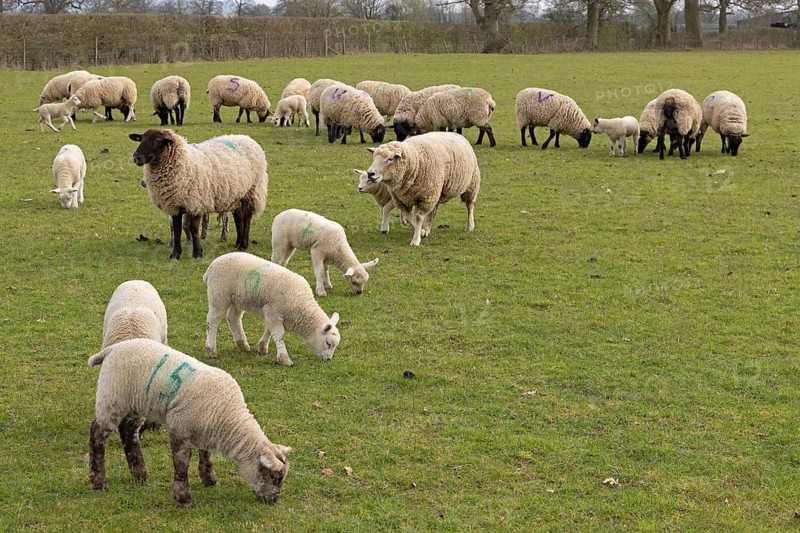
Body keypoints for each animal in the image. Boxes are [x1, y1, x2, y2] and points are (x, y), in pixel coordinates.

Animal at [87, 338, 291, 506]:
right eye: (273, 477)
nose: (274, 500)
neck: (228, 416)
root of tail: (111, 349)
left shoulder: (204, 429)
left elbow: (206, 456)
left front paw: (209, 479)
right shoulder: (180, 426)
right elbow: (182, 464)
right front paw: (183, 498)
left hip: (136, 403)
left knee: (128, 430)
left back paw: (140, 474)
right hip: (111, 399)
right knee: (97, 434)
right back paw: (98, 481)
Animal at [129, 129, 268, 260]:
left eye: (158, 140)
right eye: (141, 139)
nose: (136, 157)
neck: (183, 162)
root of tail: (246, 138)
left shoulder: (196, 203)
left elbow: (193, 228)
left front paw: (197, 253)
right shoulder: (174, 205)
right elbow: (177, 229)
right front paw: (175, 254)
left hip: (252, 191)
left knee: (247, 217)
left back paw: (243, 245)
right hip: (236, 194)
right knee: (238, 217)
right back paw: (237, 243)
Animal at [204, 252, 341, 367]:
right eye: (328, 343)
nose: (328, 359)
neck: (301, 305)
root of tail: (212, 265)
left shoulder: (272, 313)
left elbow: (269, 330)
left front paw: (262, 347)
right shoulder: (274, 311)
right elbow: (279, 334)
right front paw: (284, 359)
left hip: (237, 299)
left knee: (233, 318)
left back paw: (242, 344)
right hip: (219, 295)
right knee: (213, 321)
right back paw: (211, 350)